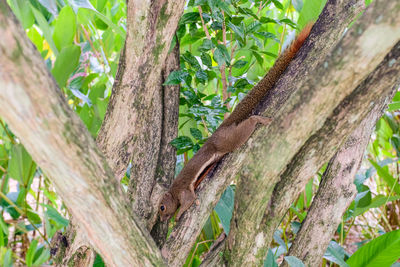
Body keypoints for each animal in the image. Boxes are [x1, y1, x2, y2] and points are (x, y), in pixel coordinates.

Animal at [159, 24, 312, 222]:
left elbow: (189, 200)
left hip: (229, 139)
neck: (173, 191)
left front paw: (178, 215)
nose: (162, 220)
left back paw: (260, 119)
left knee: (247, 127)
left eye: (162, 207)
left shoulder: (183, 191)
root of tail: (220, 129)